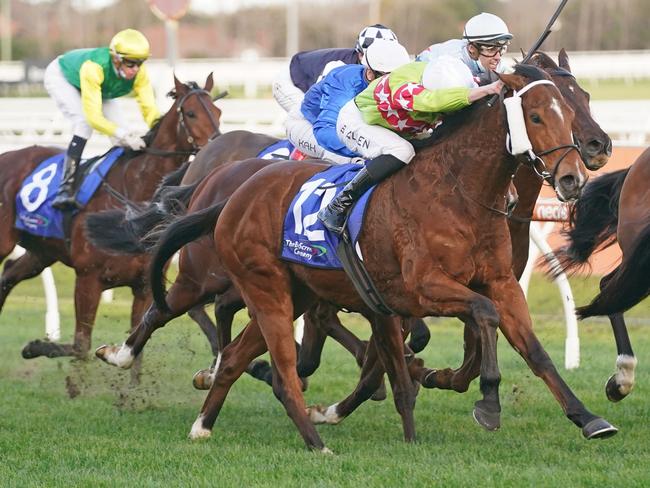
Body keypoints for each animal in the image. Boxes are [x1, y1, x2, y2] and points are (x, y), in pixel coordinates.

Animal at [0, 74, 220, 360]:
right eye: (191, 113)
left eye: (218, 111)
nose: (216, 145)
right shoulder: (88, 279)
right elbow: (81, 346)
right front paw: (38, 346)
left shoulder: (144, 286)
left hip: (42, 251)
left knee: (8, 273)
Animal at [171, 65, 608, 450]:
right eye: (535, 116)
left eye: (572, 112)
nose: (573, 178)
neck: (459, 192)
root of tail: (237, 193)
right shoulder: (422, 289)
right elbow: (484, 314)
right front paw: (487, 401)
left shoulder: (500, 281)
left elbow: (534, 350)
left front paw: (588, 418)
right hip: (263, 288)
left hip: (293, 294)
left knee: (237, 354)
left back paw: (202, 424)